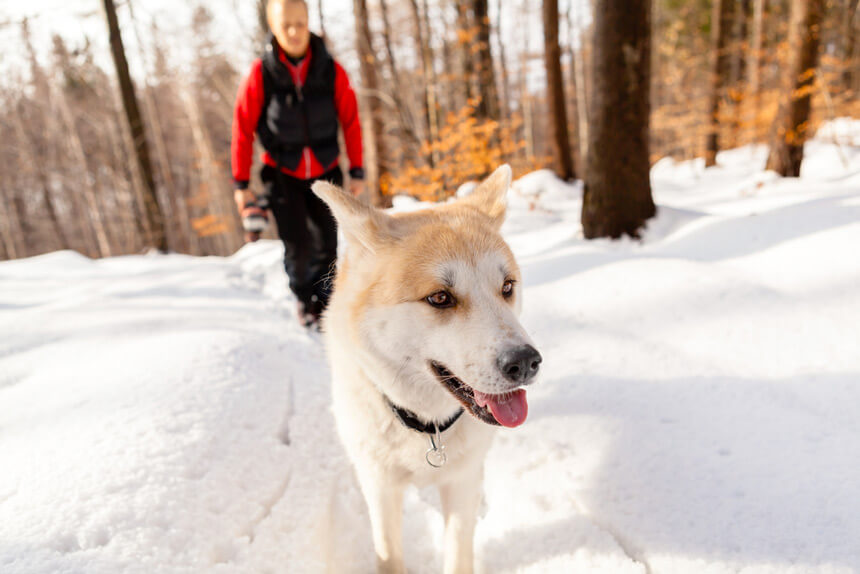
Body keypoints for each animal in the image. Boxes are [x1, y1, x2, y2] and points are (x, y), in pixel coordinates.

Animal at [312, 164, 540, 572]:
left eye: (507, 287)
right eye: (439, 298)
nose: (526, 362)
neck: (425, 426)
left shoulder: (463, 482)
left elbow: (458, 554)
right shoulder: (380, 486)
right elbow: (388, 553)